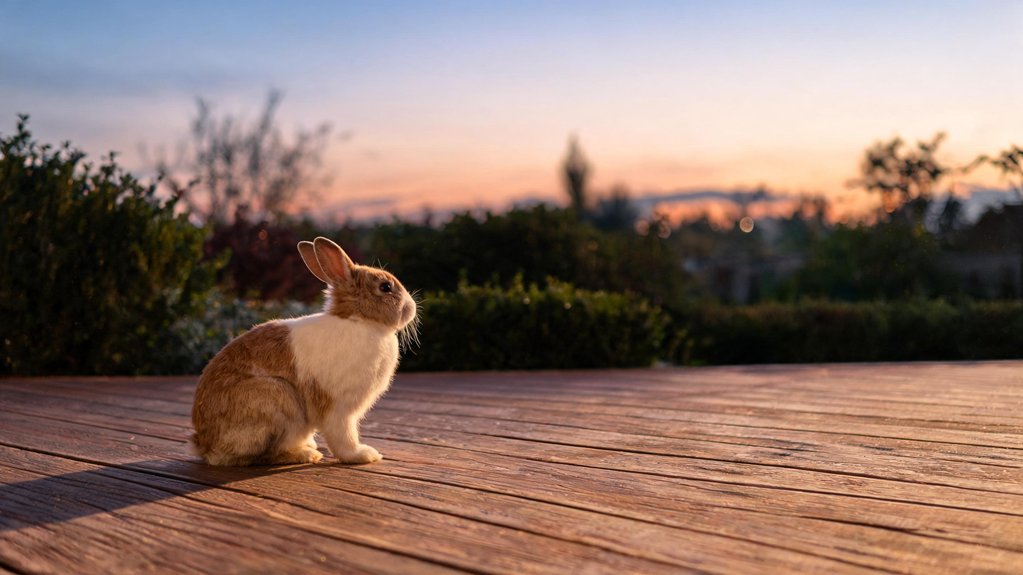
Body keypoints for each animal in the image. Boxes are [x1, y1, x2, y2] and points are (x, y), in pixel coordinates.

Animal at [191, 236, 418, 466]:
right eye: (385, 287)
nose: (412, 307)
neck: (360, 320)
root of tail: (206, 446)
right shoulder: (338, 407)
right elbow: (343, 435)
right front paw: (364, 455)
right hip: (279, 399)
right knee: (267, 454)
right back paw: (306, 454)